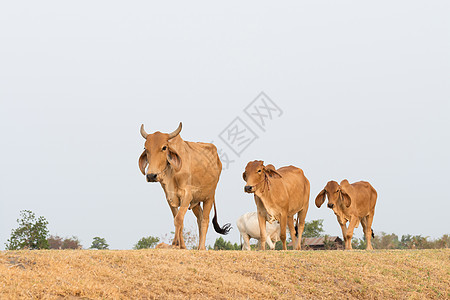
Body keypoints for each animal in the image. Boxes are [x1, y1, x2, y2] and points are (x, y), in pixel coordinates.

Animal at [138, 120, 230, 250]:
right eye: (145, 148)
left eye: (164, 147)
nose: (151, 175)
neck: (171, 174)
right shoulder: (170, 198)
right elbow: (178, 220)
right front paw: (182, 246)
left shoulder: (187, 195)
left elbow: (178, 219)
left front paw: (175, 244)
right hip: (196, 202)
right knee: (199, 218)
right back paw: (198, 247)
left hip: (209, 197)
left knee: (205, 220)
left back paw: (202, 248)